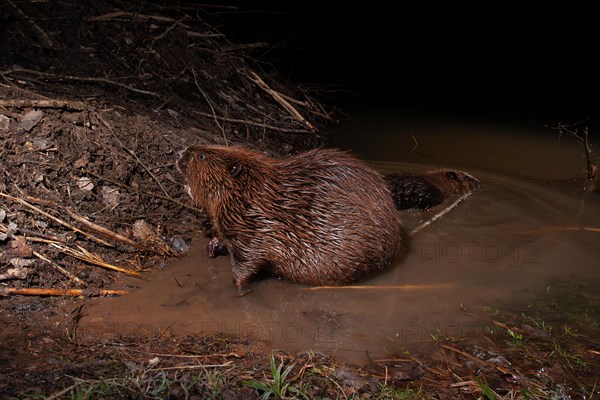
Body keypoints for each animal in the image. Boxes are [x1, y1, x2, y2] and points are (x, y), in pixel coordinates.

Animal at [176, 145, 406, 292]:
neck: (250, 193)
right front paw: (213, 245)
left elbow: (248, 262)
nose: (179, 152)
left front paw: (238, 288)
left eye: (202, 157)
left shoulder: (256, 229)